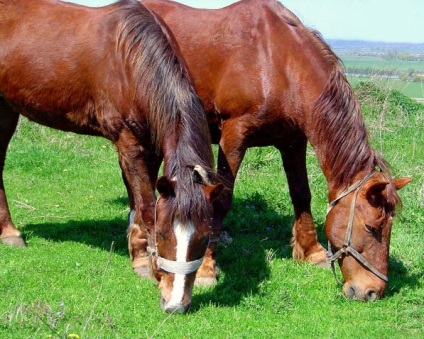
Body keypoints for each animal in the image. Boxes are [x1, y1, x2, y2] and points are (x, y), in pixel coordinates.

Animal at [0, 0, 224, 314]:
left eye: (203, 239)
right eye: (163, 235)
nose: (175, 304)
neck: (130, 61)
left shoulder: (151, 145)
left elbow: (138, 199)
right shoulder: (128, 142)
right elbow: (145, 204)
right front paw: (143, 261)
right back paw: (10, 232)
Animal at [142, 0, 410, 302]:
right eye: (371, 228)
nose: (372, 291)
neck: (276, 61)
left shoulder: (293, 141)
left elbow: (301, 194)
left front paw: (311, 251)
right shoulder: (233, 136)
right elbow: (220, 200)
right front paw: (206, 269)